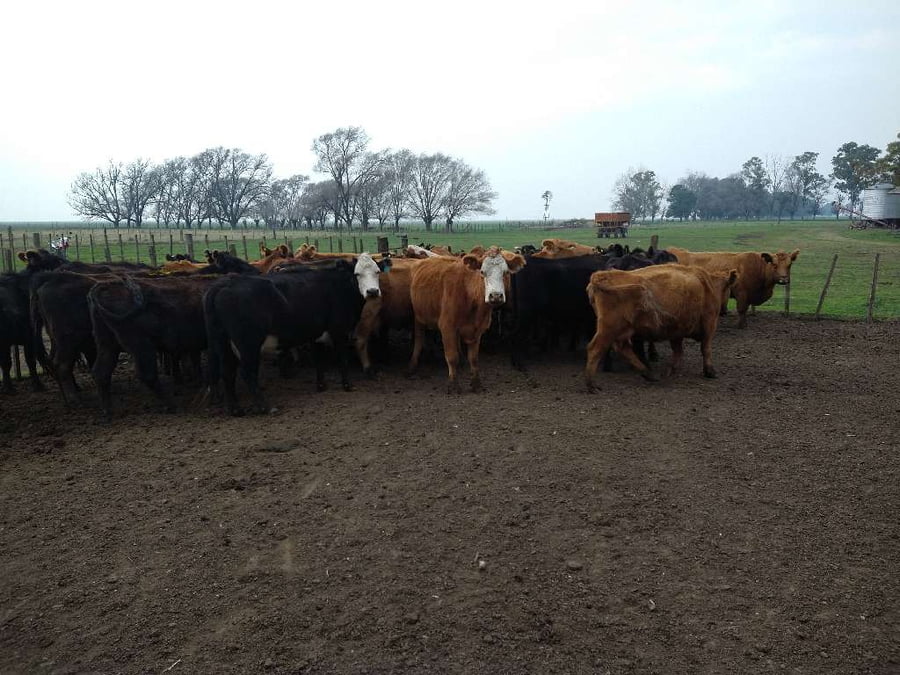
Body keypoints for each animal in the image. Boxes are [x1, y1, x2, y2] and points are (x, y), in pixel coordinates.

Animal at [408, 247, 525, 393]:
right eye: (482, 272)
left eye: (506, 272)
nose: (496, 296)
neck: (468, 294)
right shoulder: (447, 328)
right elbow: (452, 357)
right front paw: (453, 385)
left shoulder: (478, 330)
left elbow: (473, 358)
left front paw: (476, 383)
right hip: (418, 317)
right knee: (419, 339)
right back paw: (412, 365)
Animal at [584, 265, 739, 392]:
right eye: (728, 288)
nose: (725, 310)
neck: (708, 285)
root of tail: (600, 276)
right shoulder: (709, 325)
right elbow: (705, 349)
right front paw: (710, 371)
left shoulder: (677, 332)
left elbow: (678, 351)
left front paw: (670, 369)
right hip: (608, 329)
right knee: (595, 349)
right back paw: (591, 385)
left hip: (622, 330)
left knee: (623, 348)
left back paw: (649, 374)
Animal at [667, 247, 800, 327]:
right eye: (774, 264)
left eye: (789, 265)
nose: (783, 279)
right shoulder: (741, 293)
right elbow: (741, 309)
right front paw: (741, 325)